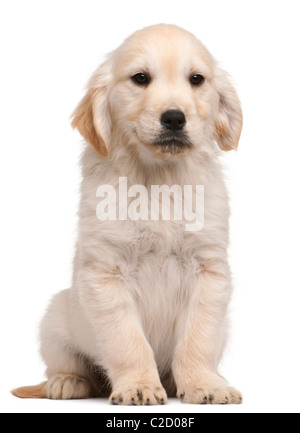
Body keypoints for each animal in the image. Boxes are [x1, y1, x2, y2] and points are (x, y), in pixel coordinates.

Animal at [13, 23, 244, 404]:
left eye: (197, 79)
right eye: (140, 78)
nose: (174, 118)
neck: (159, 179)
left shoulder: (209, 270)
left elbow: (198, 337)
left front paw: (205, 384)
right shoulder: (105, 274)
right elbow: (128, 341)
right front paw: (138, 385)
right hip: (55, 320)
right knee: (68, 365)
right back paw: (67, 382)